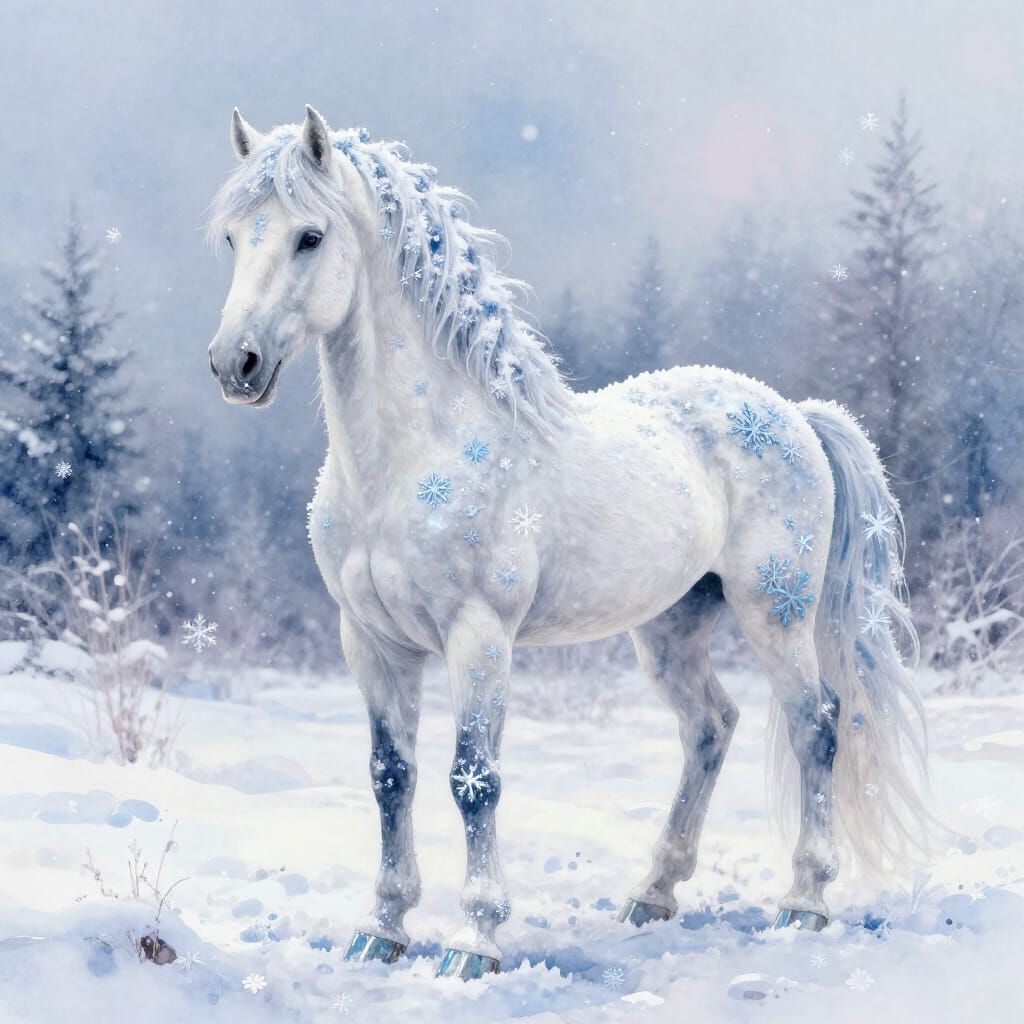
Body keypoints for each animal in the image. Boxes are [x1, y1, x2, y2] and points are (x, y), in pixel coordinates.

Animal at [206, 105, 930, 980]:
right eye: (233, 238)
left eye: (309, 236)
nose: (234, 363)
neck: (412, 457)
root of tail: (794, 412)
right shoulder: (371, 641)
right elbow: (390, 775)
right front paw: (381, 929)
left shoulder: (480, 635)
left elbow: (473, 778)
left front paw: (475, 943)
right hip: (672, 626)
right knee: (711, 726)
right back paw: (653, 892)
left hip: (775, 612)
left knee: (816, 724)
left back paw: (805, 901)